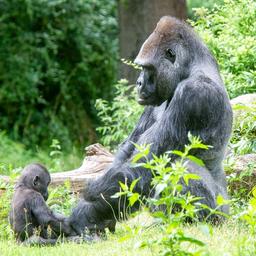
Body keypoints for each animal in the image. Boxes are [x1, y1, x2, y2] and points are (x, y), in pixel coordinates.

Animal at [68, 15, 232, 232]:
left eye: (146, 68)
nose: (138, 83)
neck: (190, 68)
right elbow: (128, 153)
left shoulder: (195, 94)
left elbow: (147, 164)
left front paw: (83, 214)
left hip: (220, 215)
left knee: (182, 165)